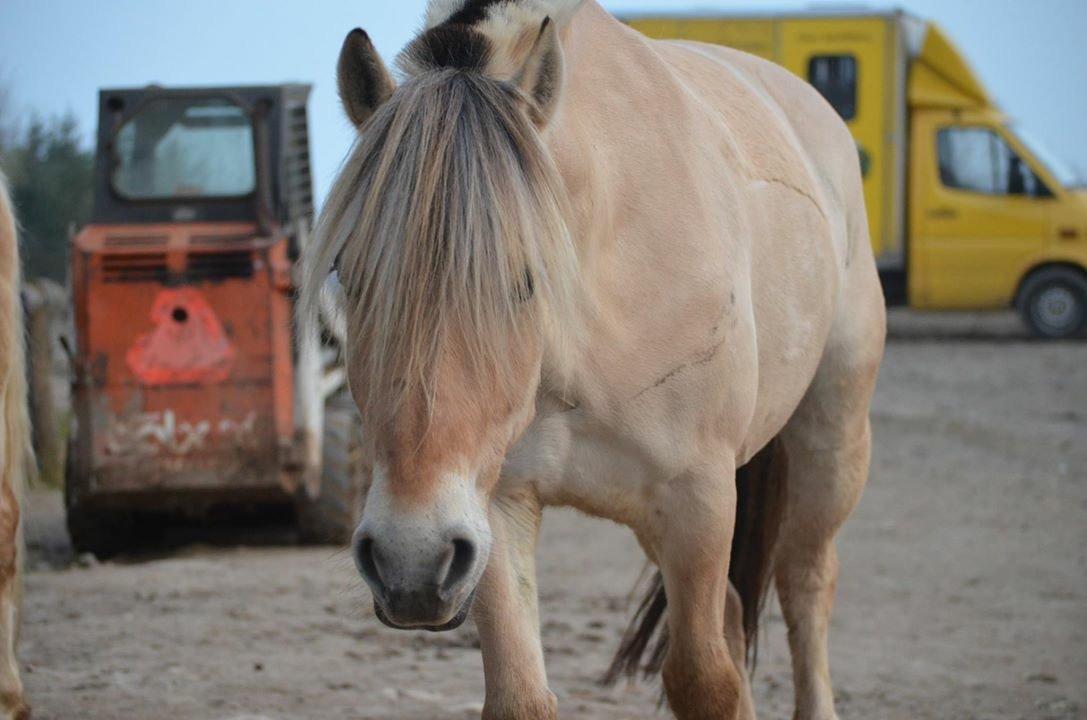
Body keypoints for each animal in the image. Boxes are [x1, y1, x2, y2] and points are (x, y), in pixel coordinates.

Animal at [304, 2, 882, 717]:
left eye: (526, 279)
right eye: (350, 276)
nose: (408, 559)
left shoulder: (699, 500)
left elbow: (704, 679)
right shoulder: (494, 508)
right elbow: (521, 695)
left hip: (830, 441)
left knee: (805, 584)